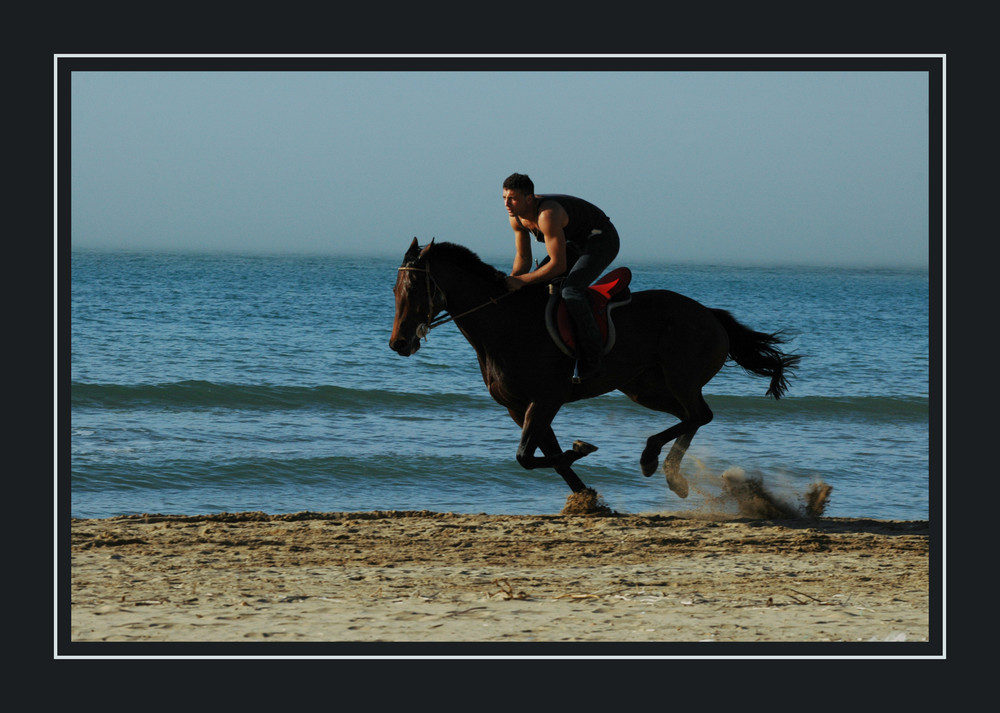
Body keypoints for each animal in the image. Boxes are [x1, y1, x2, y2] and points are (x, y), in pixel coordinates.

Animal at [386, 238, 800, 500]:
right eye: (394, 288)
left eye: (414, 288)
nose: (399, 343)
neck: (504, 326)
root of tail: (710, 315)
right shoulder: (519, 407)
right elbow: (541, 455)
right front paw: (586, 496)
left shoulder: (546, 398)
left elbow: (529, 456)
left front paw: (582, 449)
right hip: (643, 387)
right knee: (691, 417)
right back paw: (667, 471)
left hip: (680, 378)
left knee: (699, 414)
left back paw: (655, 461)